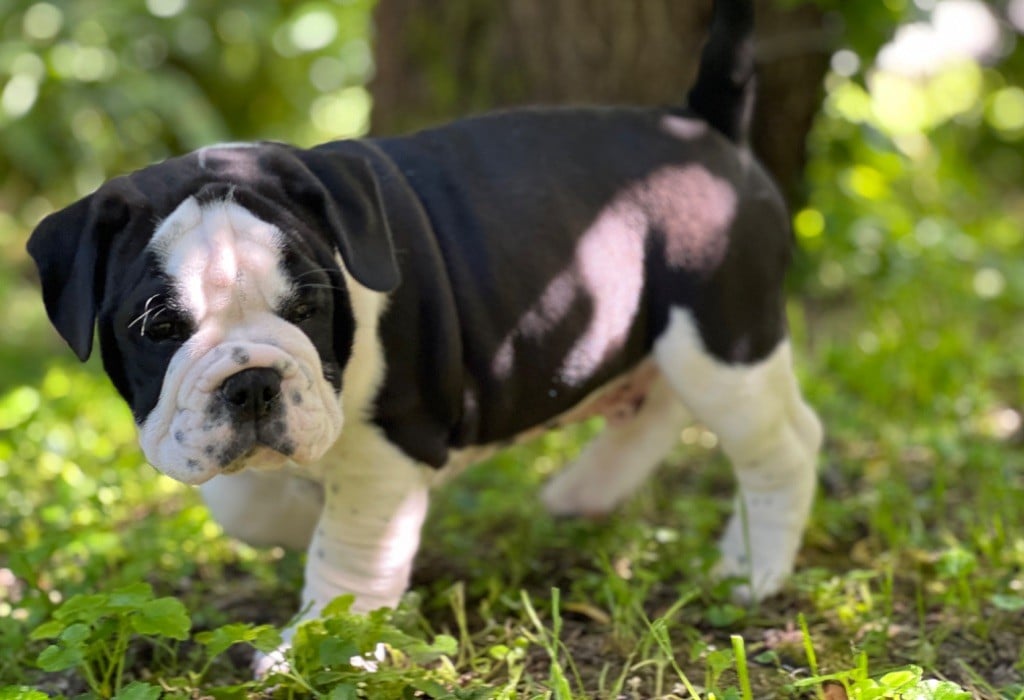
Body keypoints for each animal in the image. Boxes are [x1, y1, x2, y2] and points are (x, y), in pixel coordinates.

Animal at [28, 0, 821, 670]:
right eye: (161, 327)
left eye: (309, 305)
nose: (252, 383)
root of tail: (703, 128)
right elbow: (247, 505)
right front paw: (292, 514)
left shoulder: (387, 450)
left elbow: (349, 549)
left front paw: (319, 640)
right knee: (654, 402)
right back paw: (583, 493)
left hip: (720, 336)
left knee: (780, 444)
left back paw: (751, 567)